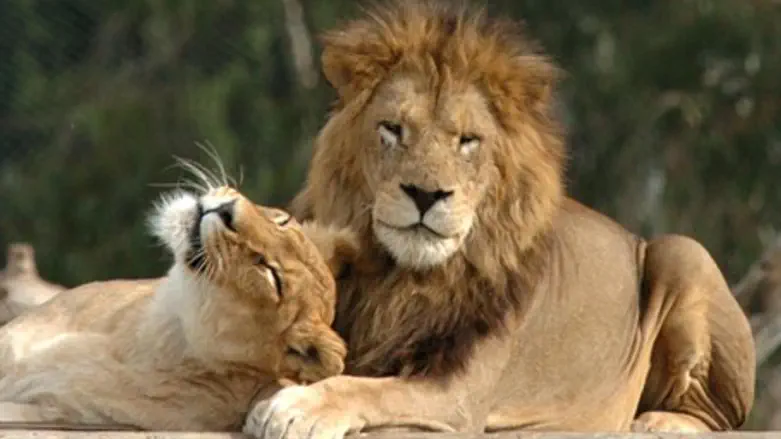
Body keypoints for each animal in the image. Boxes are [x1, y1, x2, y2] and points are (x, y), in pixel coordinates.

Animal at [243, 1, 756, 437]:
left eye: (468, 140)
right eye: (392, 129)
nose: (426, 194)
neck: (405, 278)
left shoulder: (457, 397)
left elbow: (370, 390)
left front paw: (297, 407)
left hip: (683, 252)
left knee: (718, 418)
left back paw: (655, 423)